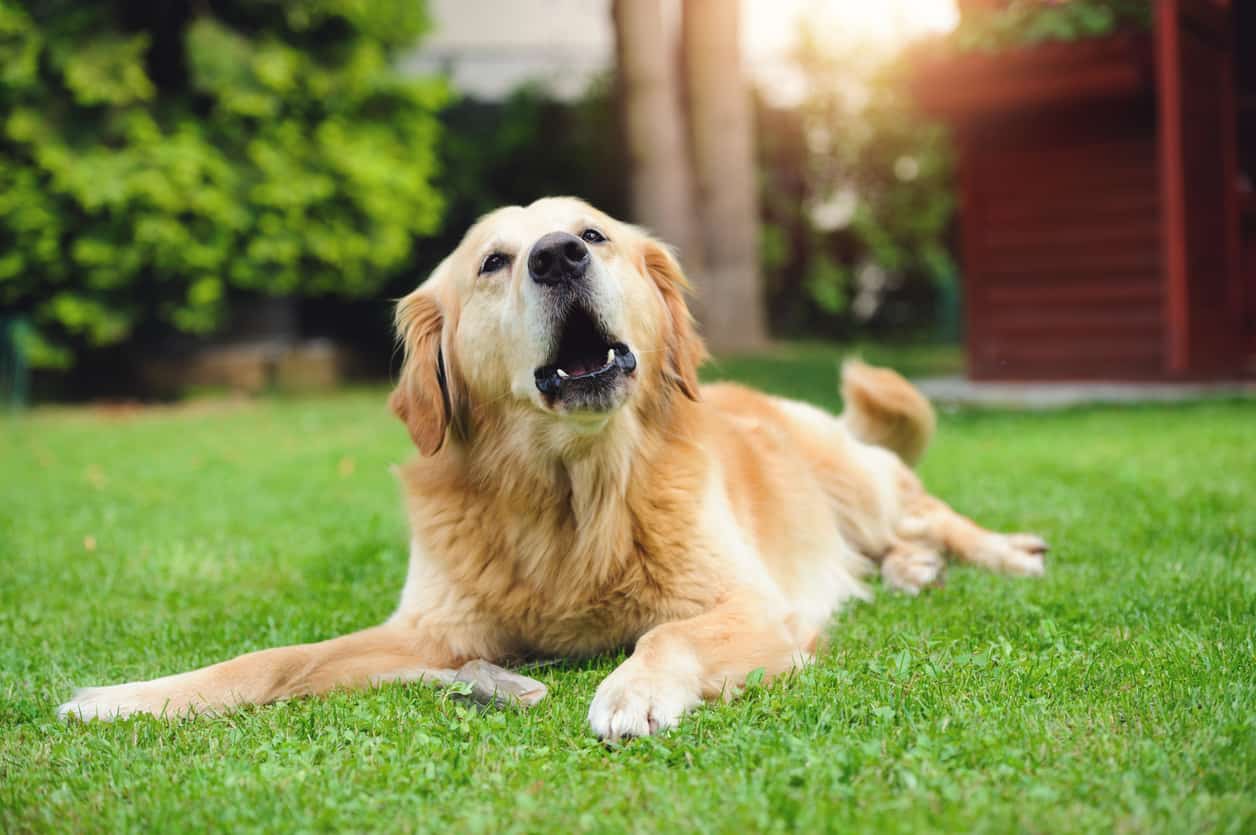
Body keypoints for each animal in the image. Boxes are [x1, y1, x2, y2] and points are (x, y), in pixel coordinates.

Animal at [59, 198, 1044, 738]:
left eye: (594, 235)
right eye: (494, 261)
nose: (558, 255)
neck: (571, 492)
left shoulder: (754, 606)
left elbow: (666, 636)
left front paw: (633, 691)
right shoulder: (430, 634)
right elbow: (273, 659)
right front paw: (130, 696)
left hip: (858, 482)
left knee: (931, 514)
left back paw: (1001, 552)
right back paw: (915, 571)